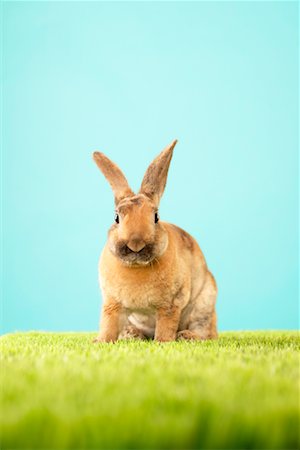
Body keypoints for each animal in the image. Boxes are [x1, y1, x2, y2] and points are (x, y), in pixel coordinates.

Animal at [92, 139, 217, 342]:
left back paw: (186, 336)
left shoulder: (170, 304)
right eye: (116, 218)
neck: (136, 267)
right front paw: (100, 341)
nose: (135, 244)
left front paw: (163, 342)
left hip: (204, 305)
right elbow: (108, 325)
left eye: (156, 217)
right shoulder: (111, 304)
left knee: (206, 332)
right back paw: (131, 334)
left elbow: (166, 325)